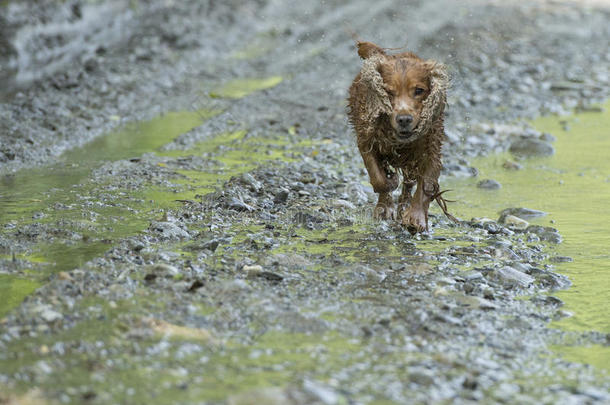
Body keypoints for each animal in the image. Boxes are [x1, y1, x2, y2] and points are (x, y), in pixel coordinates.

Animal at [346, 41, 452, 234]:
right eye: (388, 92)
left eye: (419, 90)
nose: (404, 119)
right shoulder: (367, 141)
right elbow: (379, 179)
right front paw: (389, 186)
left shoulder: (431, 150)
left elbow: (426, 184)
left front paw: (415, 217)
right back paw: (385, 208)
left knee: (409, 185)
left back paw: (403, 208)